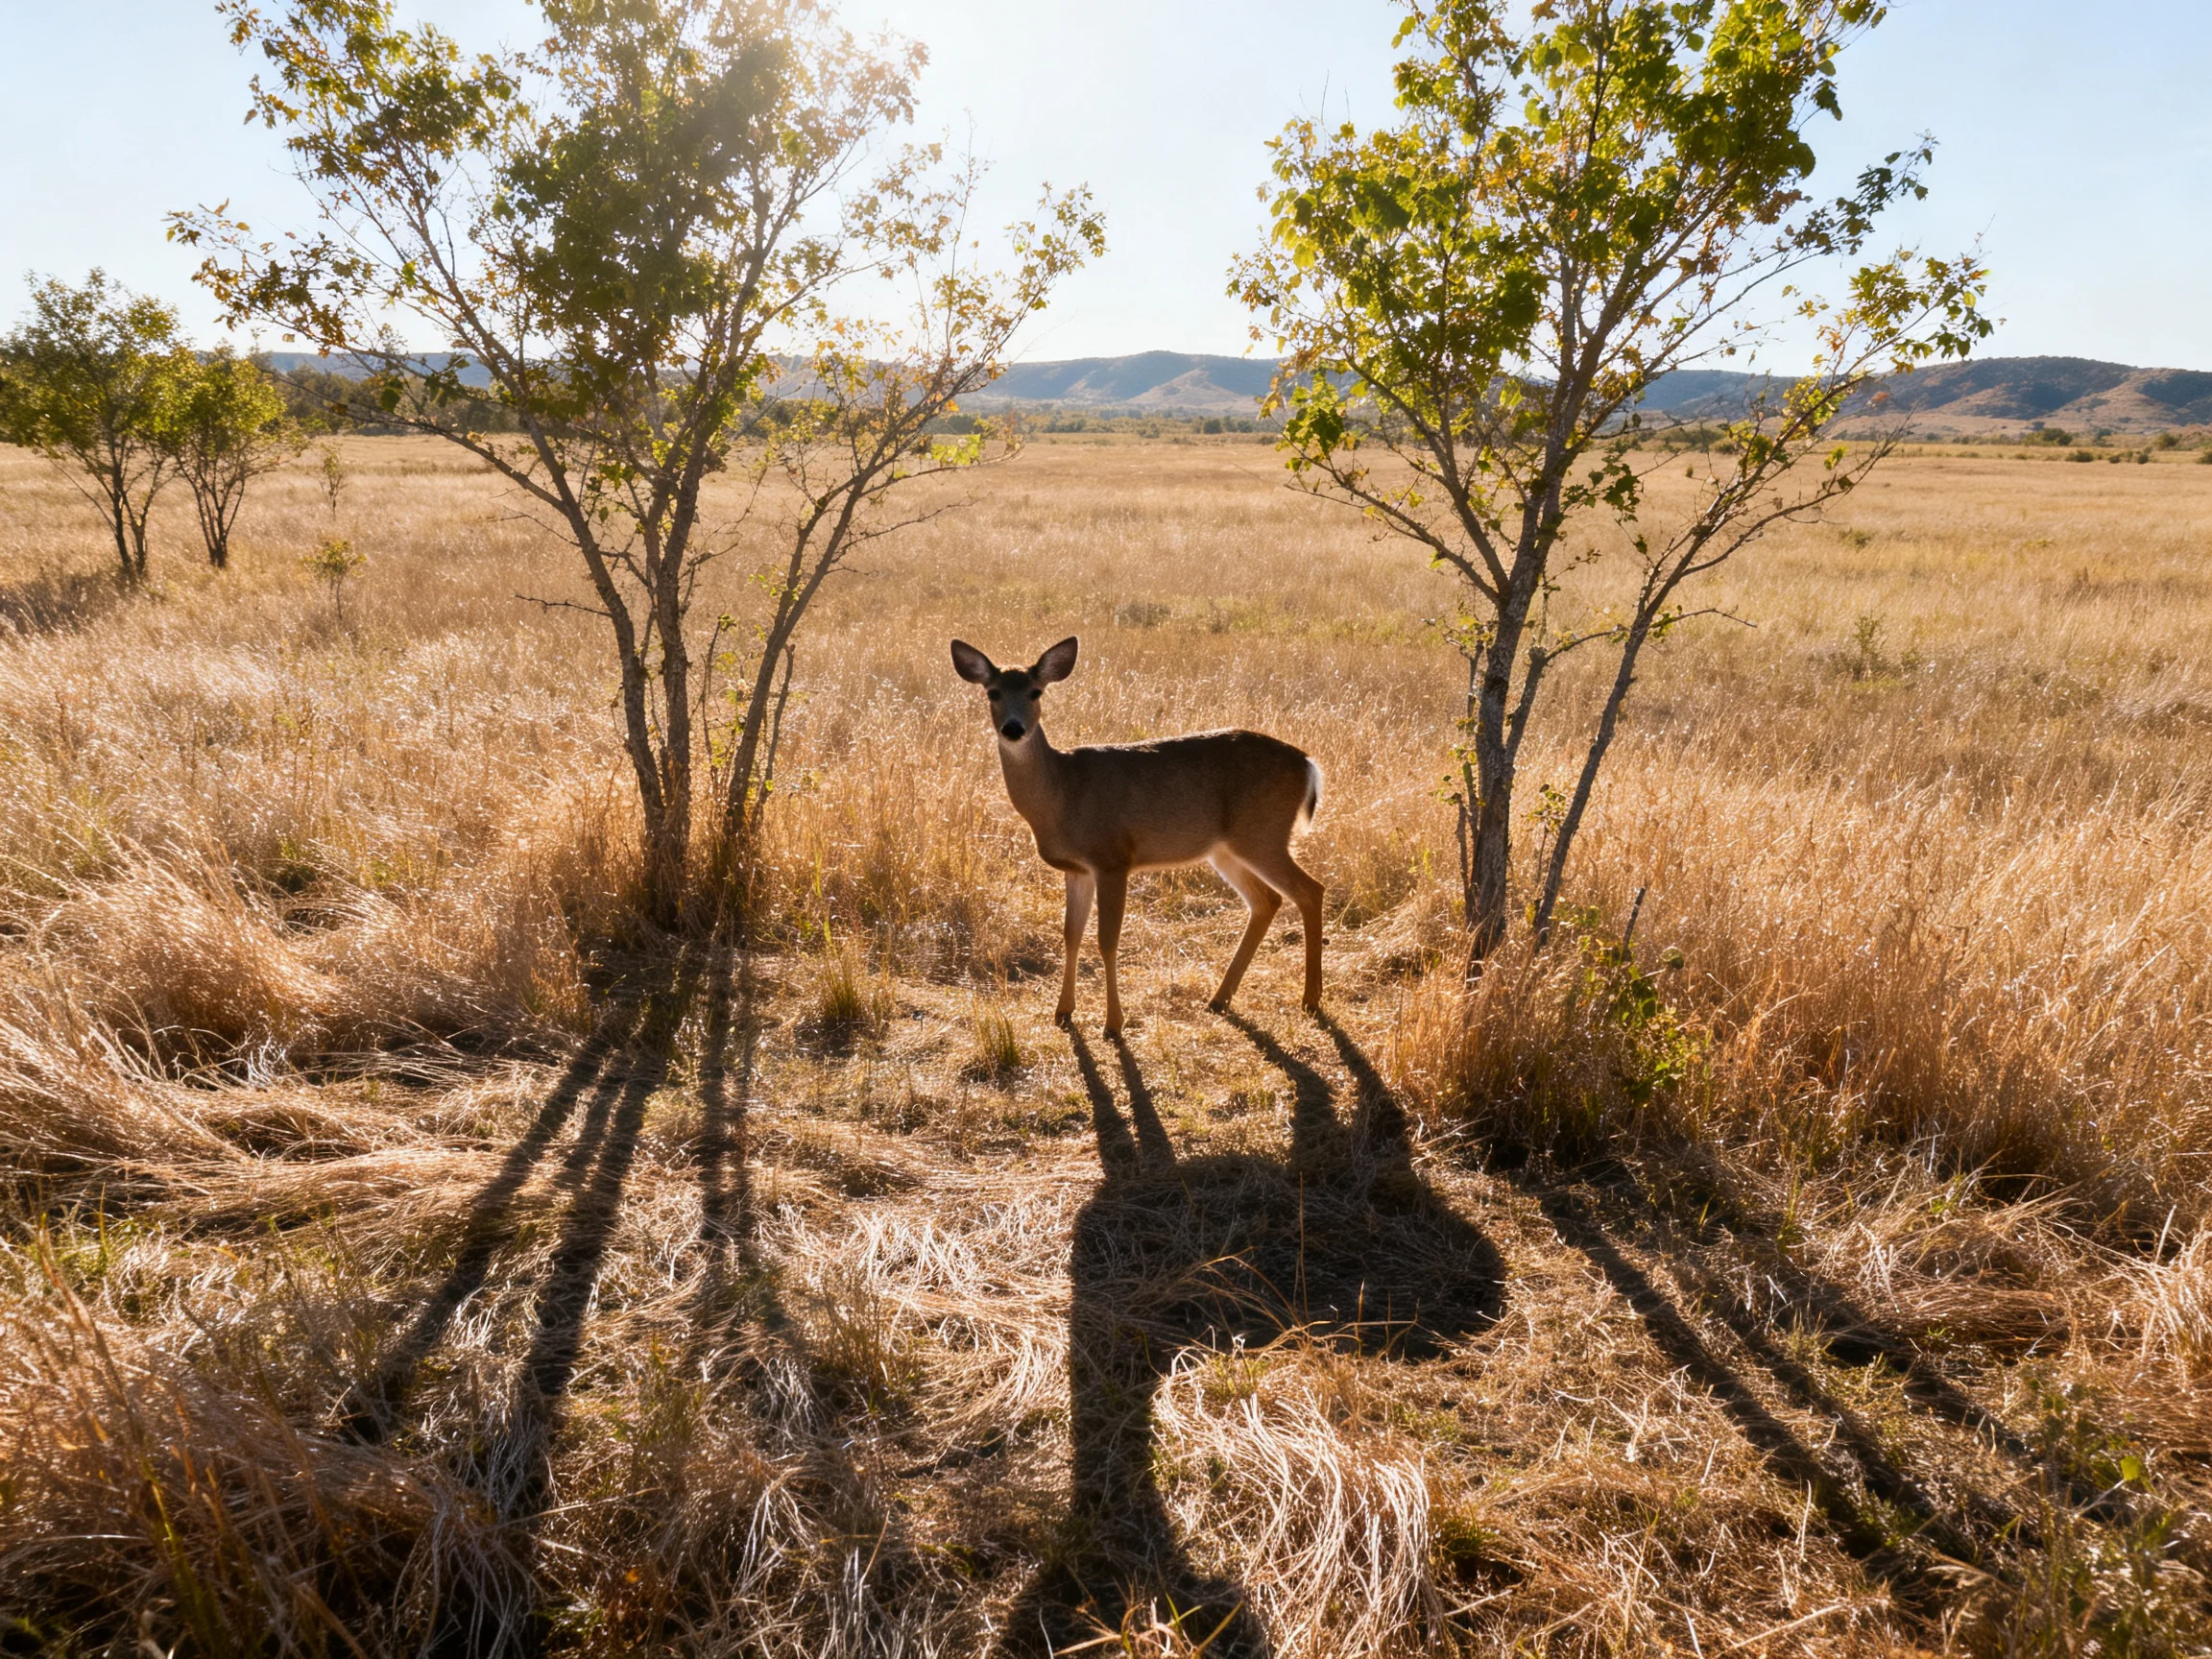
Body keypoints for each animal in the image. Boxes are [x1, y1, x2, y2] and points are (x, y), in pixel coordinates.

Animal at [951, 636, 1324, 1037]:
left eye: (1036, 691)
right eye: (992, 692)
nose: (1013, 728)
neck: (1063, 792)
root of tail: (1308, 765)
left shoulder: (1112, 858)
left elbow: (1107, 940)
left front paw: (1113, 1023)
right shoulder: (1077, 869)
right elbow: (1071, 935)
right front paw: (1063, 1012)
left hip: (1263, 833)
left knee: (1309, 890)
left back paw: (1310, 998)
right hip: (1226, 849)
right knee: (1267, 900)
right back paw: (1219, 999)